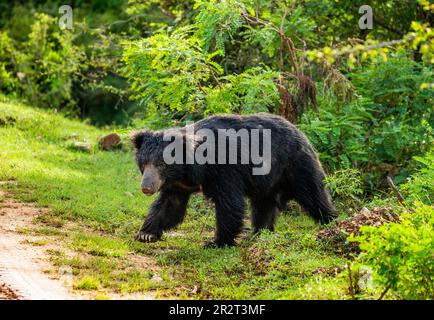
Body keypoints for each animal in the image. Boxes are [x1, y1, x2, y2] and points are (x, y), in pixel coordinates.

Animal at [131, 112, 338, 248]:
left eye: (161, 164)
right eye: (144, 163)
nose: (146, 188)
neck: (189, 170)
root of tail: (300, 132)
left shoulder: (225, 170)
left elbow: (229, 203)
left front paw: (216, 242)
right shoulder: (178, 184)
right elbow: (170, 205)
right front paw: (146, 234)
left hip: (294, 165)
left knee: (313, 195)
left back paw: (331, 221)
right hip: (267, 180)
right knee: (264, 205)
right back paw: (259, 233)